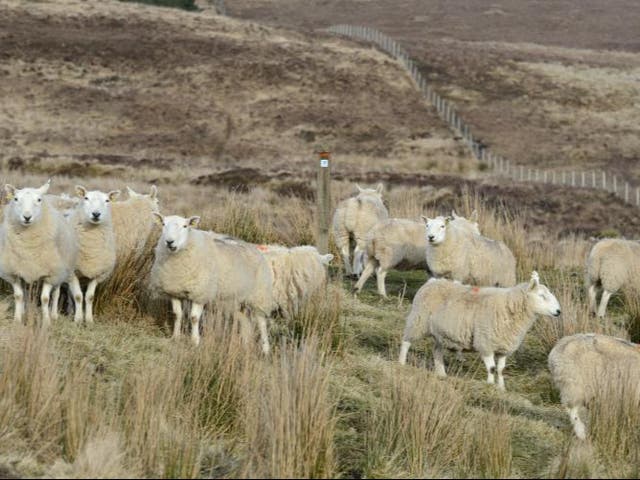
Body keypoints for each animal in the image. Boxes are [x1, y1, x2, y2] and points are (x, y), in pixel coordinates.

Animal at [0, 180, 78, 326]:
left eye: (39, 200)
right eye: (16, 199)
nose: (27, 217)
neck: (28, 246)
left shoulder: (50, 272)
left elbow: (45, 298)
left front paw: (46, 321)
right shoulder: (14, 271)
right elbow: (18, 296)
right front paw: (17, 320)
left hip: (60, 270)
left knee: (56, 293)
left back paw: (54, 315)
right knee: (25, 293)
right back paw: (24, 312)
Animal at [62, 186, 120, 325]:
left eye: (107, 200)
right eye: (86, 198)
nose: (96, 214)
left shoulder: (97, 273)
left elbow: (89, 297)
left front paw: (88, 320)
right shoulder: (73, 272)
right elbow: (78, 296)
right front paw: (78, 320)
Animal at [149, 214, 274, 351]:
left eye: (185, 226)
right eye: (163, 224)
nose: (169, 242)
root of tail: (254, 247)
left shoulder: (200, 293)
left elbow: (194, 318)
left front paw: (195, 341)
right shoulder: (174, 291)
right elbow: (177, 314)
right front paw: (175, 337)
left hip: (259, 295)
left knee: (261, 322)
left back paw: (266, 349)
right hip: (237, 300)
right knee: (245, 322)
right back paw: (245, 346)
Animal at [399, 272, 561, 390]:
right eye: (542, 296)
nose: (559, 311)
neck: (510, 307)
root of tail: (433, 281)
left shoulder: (503, 347)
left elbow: (500, 369)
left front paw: (501, 388)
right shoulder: (485, 342)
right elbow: (492, 368)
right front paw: (490, 385)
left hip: (442, 333)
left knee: (436, 350)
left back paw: (441, 373)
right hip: (418, 320)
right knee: (406, 342)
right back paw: (401, 363)